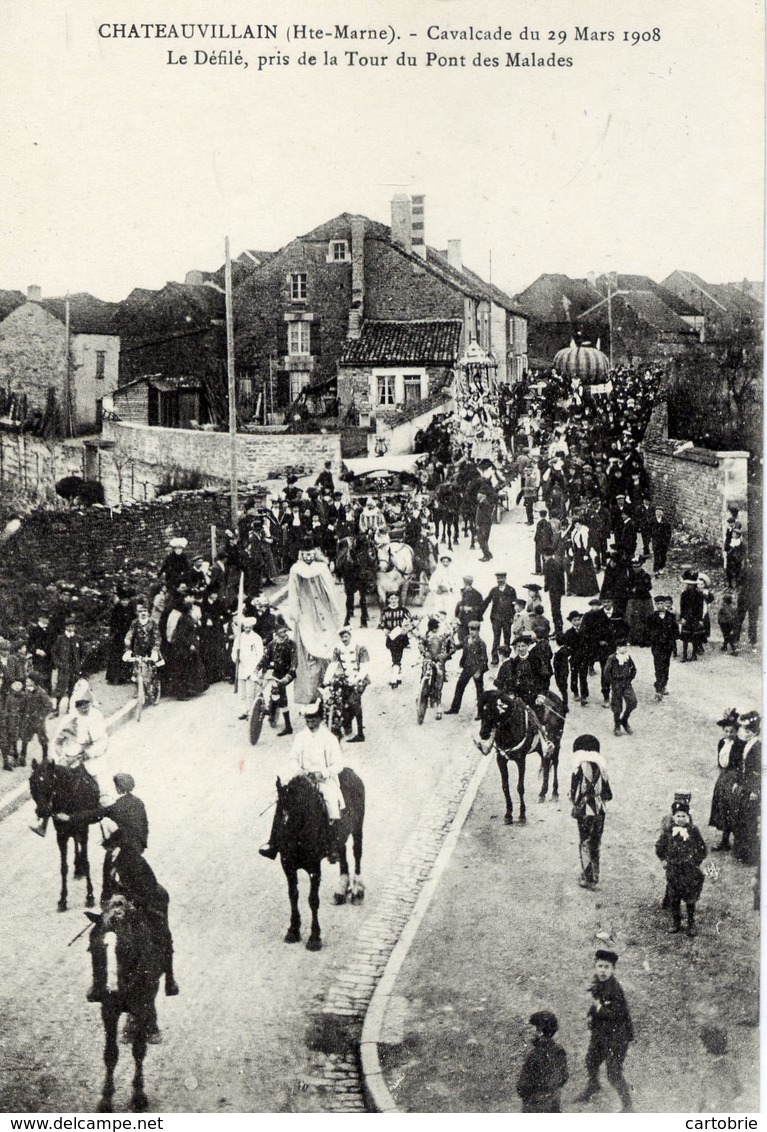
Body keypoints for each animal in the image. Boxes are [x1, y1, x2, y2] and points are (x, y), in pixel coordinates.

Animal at [29, 760, 100, 910]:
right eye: (31, 781)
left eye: (50, 782)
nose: (42, 811)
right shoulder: (61, 836)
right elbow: (63, 867)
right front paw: (63, 899)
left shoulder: (83, 831)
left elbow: (87, 862)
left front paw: (90, 896)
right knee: (75, 842)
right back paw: (77, 868)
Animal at [85, 892, 165, 1113]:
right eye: (94, 947)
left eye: (125, 949)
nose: (111, 991)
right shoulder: (108, 1010)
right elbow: (110, 1054)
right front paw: (106, 1100)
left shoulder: (141, 1007)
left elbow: (139, 1051)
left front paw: (138, 1096)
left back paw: (150, 1029)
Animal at [273, 765, 366, 950]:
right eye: (279, 811)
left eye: (297, 813)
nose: (284, 842)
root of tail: (350, 771)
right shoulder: (287, 865)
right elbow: (293, 895)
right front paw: (293, 930)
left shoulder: (314, 868)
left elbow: (313, 900)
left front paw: (314, 938)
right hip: (341, 836)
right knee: (343, 854)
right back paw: (340, 891)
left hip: (358, 827)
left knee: (357, 854)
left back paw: (357, 891)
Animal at [477, 688, 556, 824]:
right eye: (481, 711)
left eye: (492, 711)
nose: (483, 733)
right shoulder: (501, 759)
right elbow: (505, 786)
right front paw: (508, 814)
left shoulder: (521, 760)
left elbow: (520, 787)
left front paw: (522, 815)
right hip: (540, 749)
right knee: (546, 763)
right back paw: (542, 793)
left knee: (555, 762)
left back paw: (555, 793)